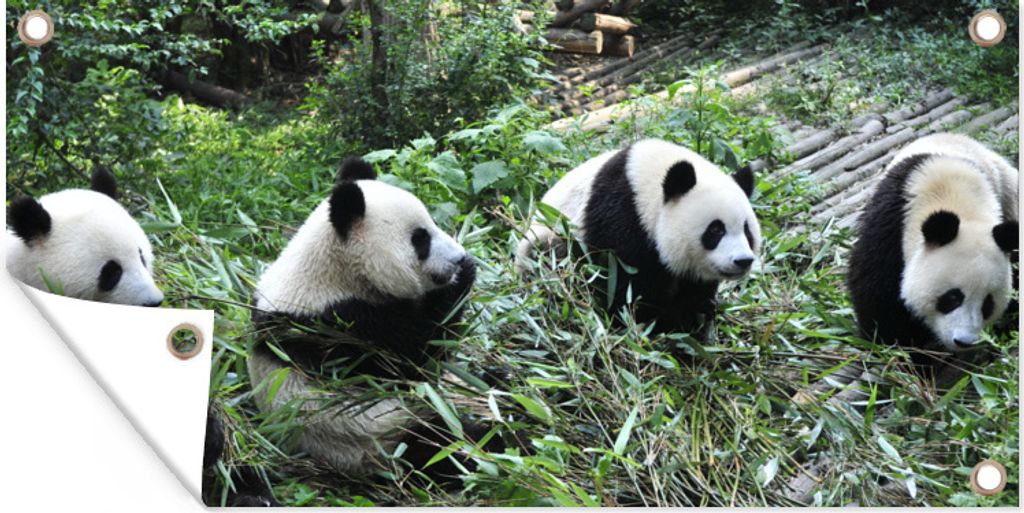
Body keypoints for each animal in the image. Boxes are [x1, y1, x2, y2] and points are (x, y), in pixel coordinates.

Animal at [248, 157, 489, 478]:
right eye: (420, 239)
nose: (458, 257)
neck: (336, 271)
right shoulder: (337, 327)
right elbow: (413, 360)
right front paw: (463, 277)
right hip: (377, 437)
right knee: (445, 445)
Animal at [516, 138, 761, 336]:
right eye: (716, 230)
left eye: (747, 230)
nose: (743, 260)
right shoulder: (621, 219)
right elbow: (627, 288)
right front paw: (662, 321)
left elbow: (694, 287)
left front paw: (695, 312)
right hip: (553, 239)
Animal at [848, 133, 1018, 362]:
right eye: (952, 297)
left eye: (988, 304)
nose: (963, 341)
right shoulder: (891, 224)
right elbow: (877, 295)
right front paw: (898, 350)